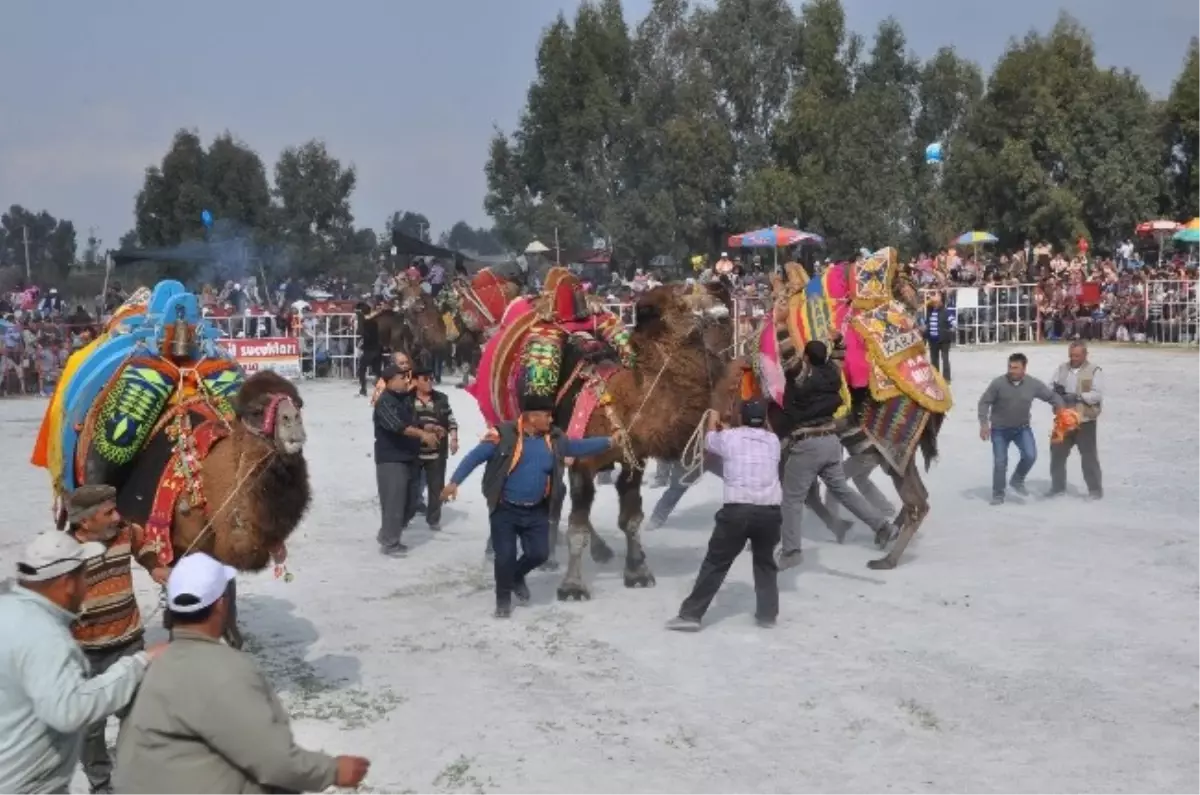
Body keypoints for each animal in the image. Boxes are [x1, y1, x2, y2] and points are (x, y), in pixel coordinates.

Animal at [35, 279, 312, 648]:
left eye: (298, 402)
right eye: (256, 411)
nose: (292, 422)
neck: (205, 483)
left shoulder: (215, 548)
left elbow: (224, 590)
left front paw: (229, 633)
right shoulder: (168, 541)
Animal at [465, 271, 729, 600]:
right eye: (682, 292)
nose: (723, 302)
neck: (621, 400)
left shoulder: (631, 459)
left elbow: (630, 519)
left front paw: (637, 571)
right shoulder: (581, 460)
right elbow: (576, 527)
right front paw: (572, 587)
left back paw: (596, 551)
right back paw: (516, 552)